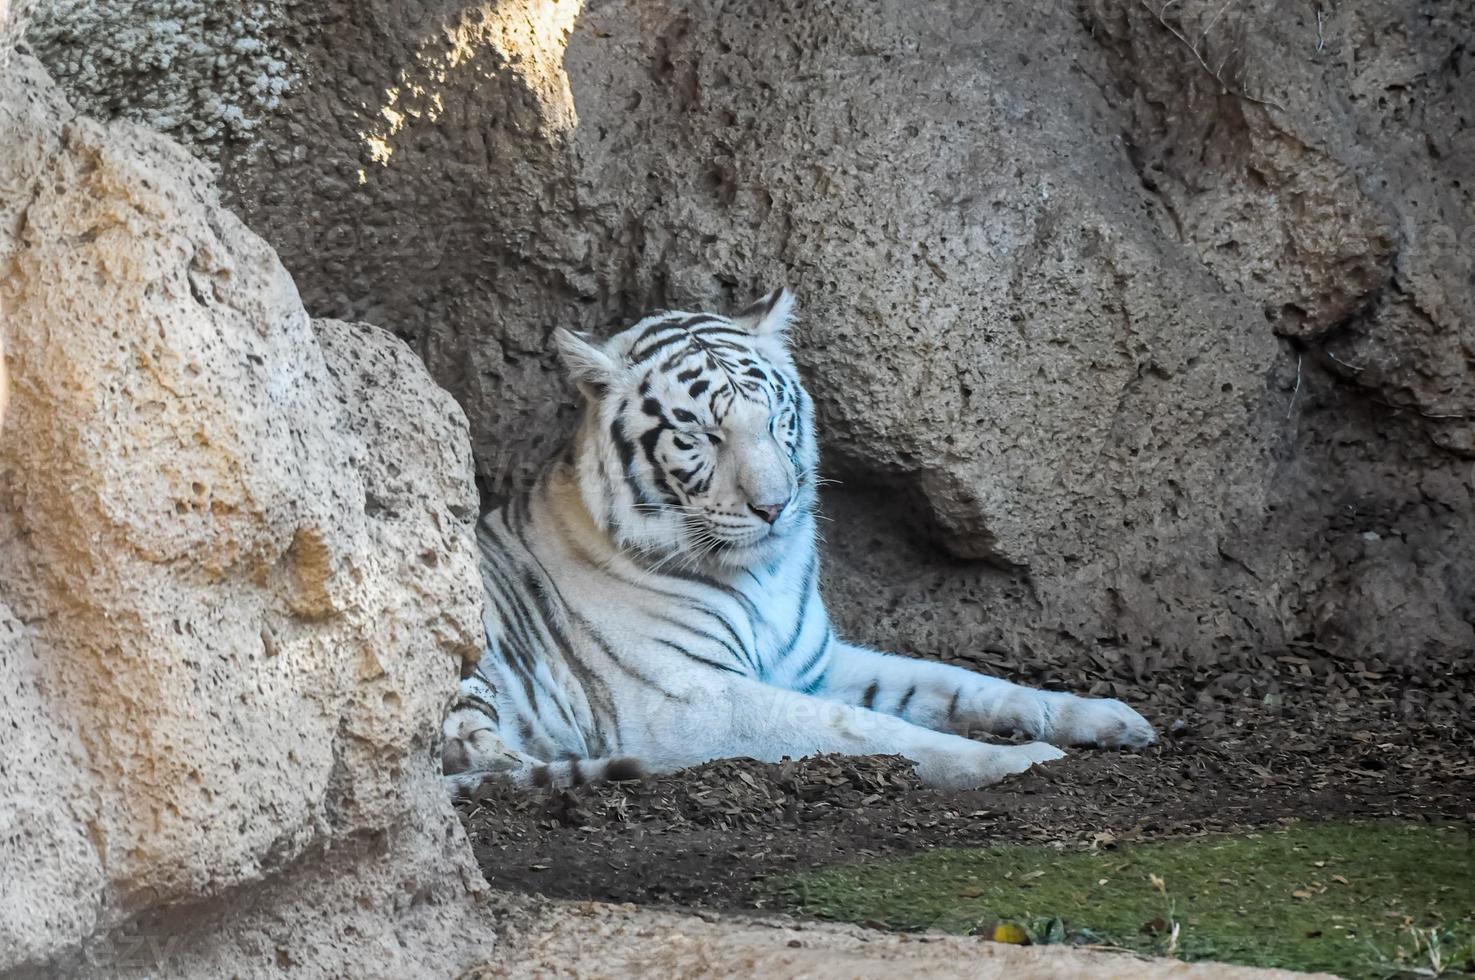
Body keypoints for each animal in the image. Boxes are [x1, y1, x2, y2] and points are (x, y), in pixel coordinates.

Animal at [442, 287, 1156, 791]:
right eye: (698, 435)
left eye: (778, 420)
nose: (774, 505)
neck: (762, 577)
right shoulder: (694, 702)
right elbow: (868, 728)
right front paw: (1024, 760)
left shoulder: (814, 663)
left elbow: (956, 683)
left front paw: (1103, 716)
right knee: (468, 762)